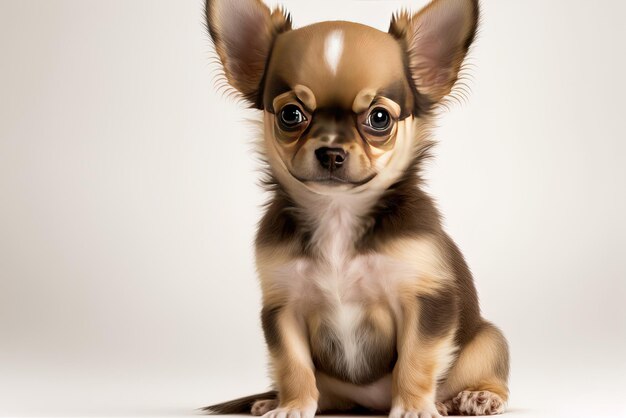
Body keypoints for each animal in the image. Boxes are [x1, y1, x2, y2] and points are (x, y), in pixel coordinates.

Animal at [202, 0, 510, 416]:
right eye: (290, 115)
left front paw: (413, 406)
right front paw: (294, 405)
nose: (331, 152)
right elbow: (292, 364)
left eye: (379, 118)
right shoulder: (282, 307)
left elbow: (417, 358)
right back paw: (270, 400)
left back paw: (476, 396)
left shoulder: (427, 301)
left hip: (488, 338)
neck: (338, 213)